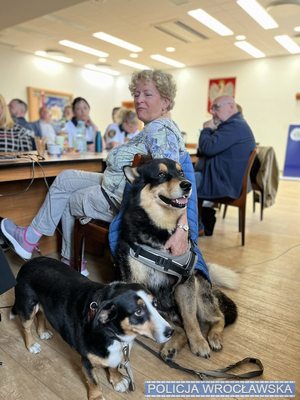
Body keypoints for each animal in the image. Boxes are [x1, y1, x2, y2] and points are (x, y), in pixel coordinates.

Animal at [10, 258, 172, 398]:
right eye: (138, 311)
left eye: (155, 304)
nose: (170, 332)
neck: (112, 333)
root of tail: (29, 262)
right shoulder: (87, 362)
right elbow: (93, 382)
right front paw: (97, 396)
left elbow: (113, 366)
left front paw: (117, 380)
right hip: (28, 307)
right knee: (26, 327)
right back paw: (31, 345)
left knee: (41, 314)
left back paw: (42, 332)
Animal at [116, 158, 238, 360]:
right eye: (160, 174)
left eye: (181, 173)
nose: (187, 185)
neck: (160, 229)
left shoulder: (186, 283)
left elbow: (190, 320)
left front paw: (198, 342)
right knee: (176, 329)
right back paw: (171, 346)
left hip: (198, 289)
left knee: (217, 317)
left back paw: (213, 337)